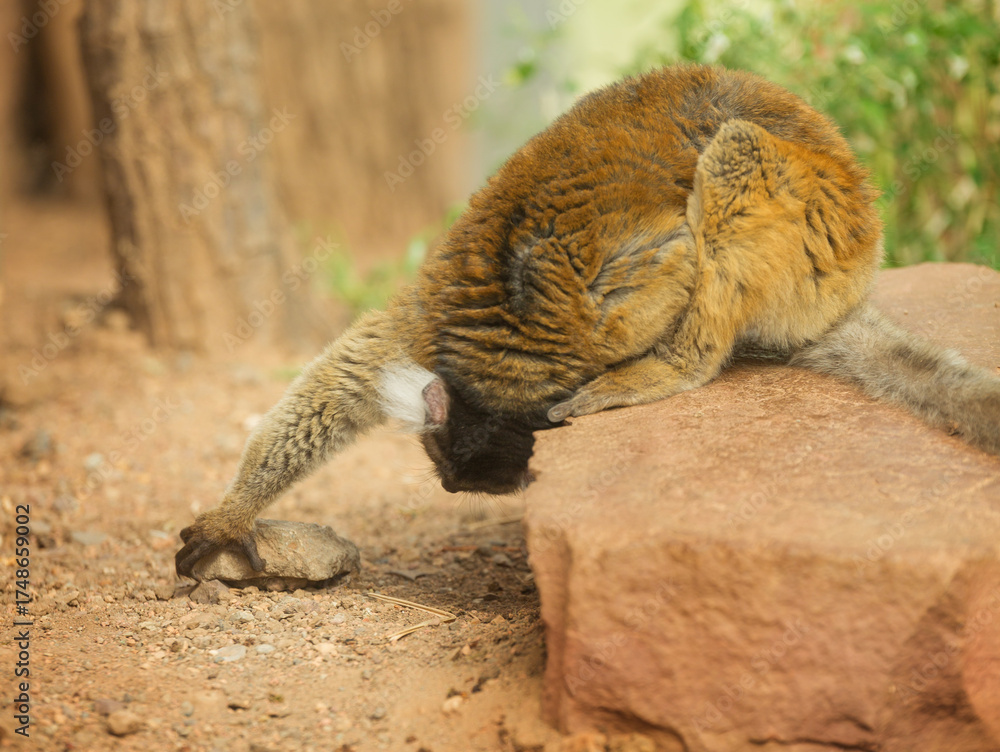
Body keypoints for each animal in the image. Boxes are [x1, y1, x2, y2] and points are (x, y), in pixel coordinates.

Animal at [175, 63, 1000, 578]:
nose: (455, 494)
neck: (496, 351)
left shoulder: (572, 315)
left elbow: (675, 259)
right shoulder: (430, 320)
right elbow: (338, 383)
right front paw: (231, 515)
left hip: (821, 227)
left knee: (731, 159)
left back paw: (674, 365)